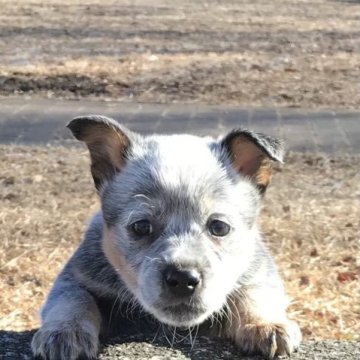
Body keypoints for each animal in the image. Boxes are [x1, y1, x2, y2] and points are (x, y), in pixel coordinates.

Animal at [31, 116, 300, 358]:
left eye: (219, 227)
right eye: (141, 227)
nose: (182, 278)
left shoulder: (259, 270)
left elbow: (254, 293)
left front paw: (265, 324)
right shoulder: (76, 274)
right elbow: (73, 298)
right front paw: (66, 332)